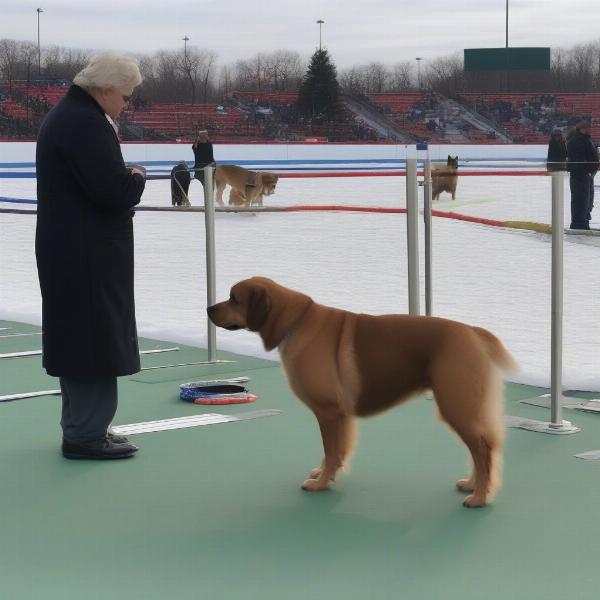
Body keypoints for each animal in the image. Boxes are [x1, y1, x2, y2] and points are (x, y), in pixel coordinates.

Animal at [207, 276, 516, 506]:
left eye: (234, 298)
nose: (209, 308)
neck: (296, 322)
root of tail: (473, 332)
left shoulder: (328, 413)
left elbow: (331, 450)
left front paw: (321, 483)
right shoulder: (338, 416)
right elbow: (334, 451)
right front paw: (324, 474)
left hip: (456, 405)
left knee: (483, 449)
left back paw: (480, 497)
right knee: (482, 449)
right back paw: (472, 485)